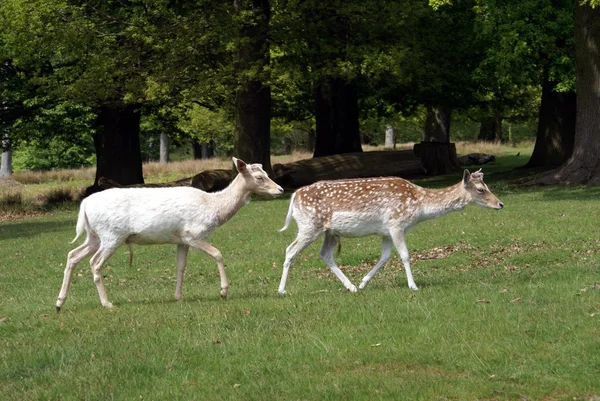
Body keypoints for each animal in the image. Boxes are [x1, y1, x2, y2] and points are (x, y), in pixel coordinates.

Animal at [56, 157, 282, 310]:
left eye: (266, 174)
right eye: (260, 177)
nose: (280, 189)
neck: (213, 207)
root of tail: (84, 205)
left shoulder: (181, 239)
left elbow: (181, 266)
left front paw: (178, 296)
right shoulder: (193, 233)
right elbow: (218, 254)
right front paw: (223, 292)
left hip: (94, 236)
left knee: (72, 255)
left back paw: (59, 303)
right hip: (112, 235)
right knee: (94, 262)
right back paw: (107, 303)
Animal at [278, 167, 504, 292]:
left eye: (487, 186)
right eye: (481, 189)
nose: (500, 204)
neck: (420, 207)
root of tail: (294, 196)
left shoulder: (385, 232)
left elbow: (385, 257)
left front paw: (363, 283)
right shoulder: (396, 223)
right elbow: (405, 255)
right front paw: (413, 286)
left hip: (330, 232)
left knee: (325, 254)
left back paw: (351, 287)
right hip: (309, 225)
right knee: (290, 249)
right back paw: (281, 290)